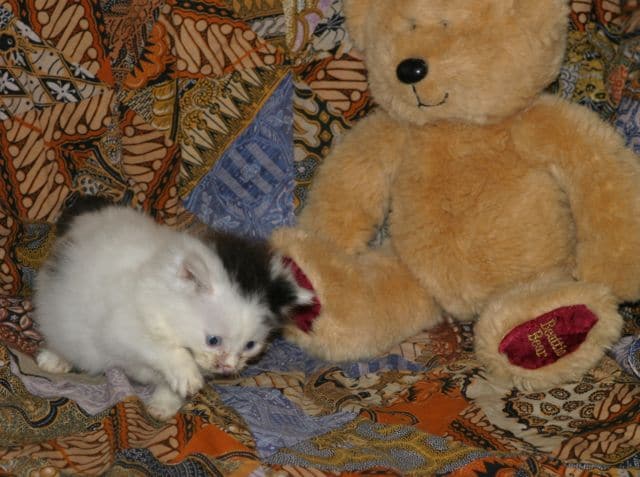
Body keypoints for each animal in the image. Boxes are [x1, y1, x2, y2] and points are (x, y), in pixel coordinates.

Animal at [33, 197, 312, 420]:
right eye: (213, 340)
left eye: (250, 346)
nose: (228, 367)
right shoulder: (121, 326)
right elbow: (162, 348)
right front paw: (186, 373)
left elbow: (170, 386)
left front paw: (164, 405)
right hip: (62, 308)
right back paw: (54, 360)